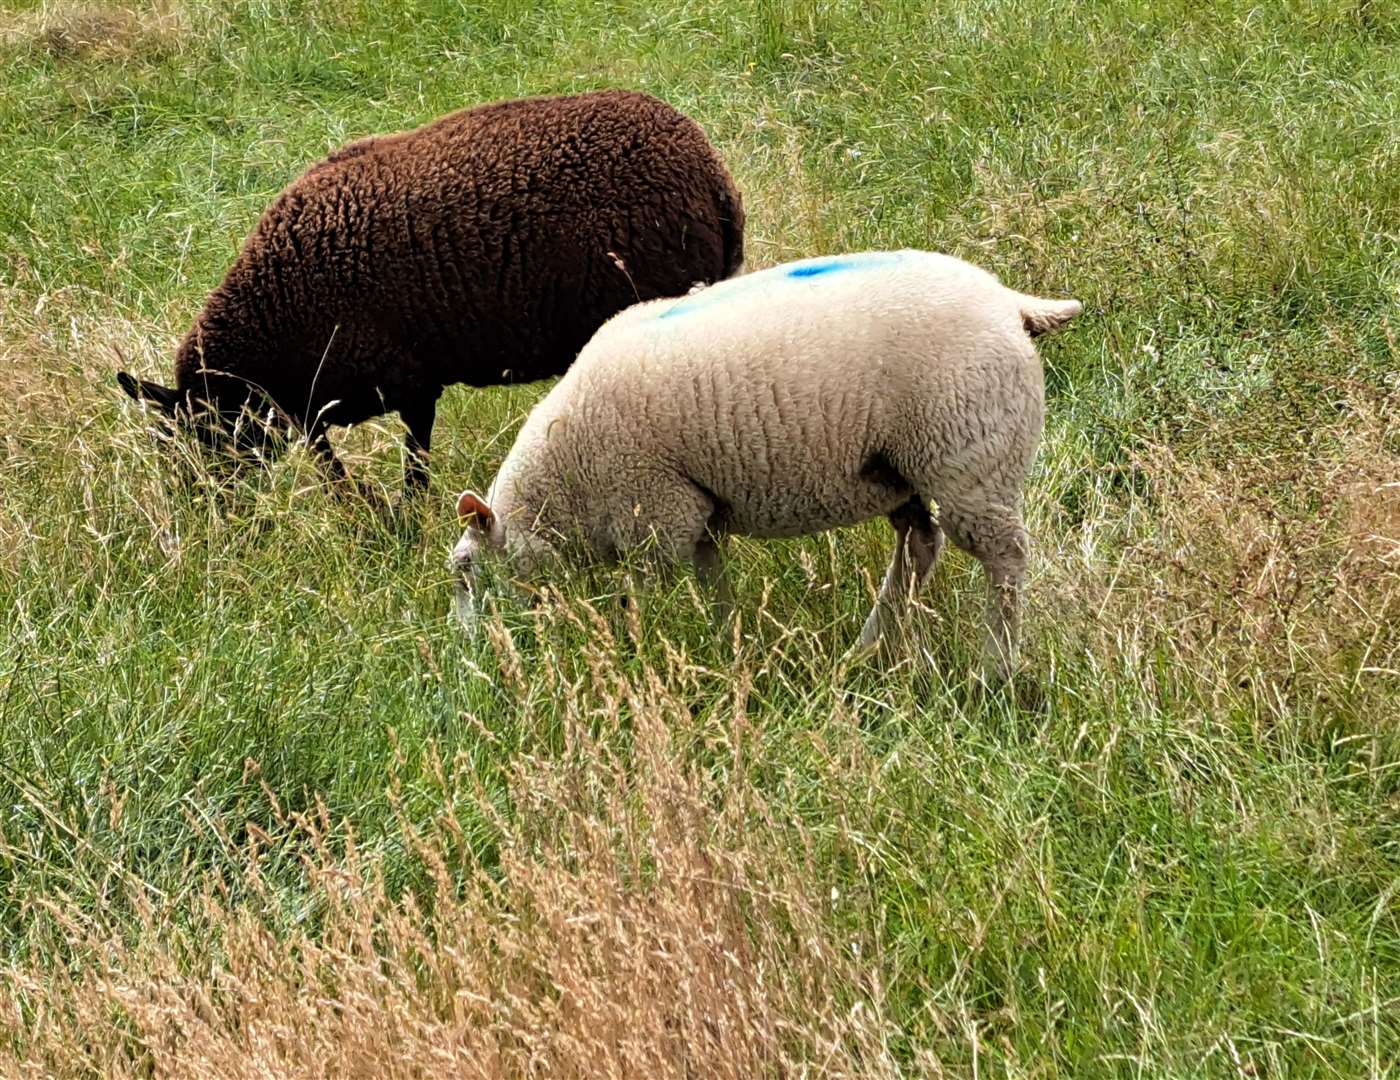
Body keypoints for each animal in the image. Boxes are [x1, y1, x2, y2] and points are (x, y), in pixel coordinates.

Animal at [113, 91, 744, 495]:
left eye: (200, 439)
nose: (215, 511)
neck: (272, 314)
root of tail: (710, 175)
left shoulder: (402, 381)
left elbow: (400, 465)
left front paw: (391, 525)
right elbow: (335, 455)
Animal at [448, 249, 1080, 680]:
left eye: (466, 570)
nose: (472, 656)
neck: (559, 487)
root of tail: (1008, 302)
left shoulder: (654, 516)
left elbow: (653, 602)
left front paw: (651, 653)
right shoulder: (693, 513)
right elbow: (714, 587)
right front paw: (726, 648)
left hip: (969, 454)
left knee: (1004, 559)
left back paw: (994, 668)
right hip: (902, 470)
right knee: (920, 545)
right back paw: (865, 650)